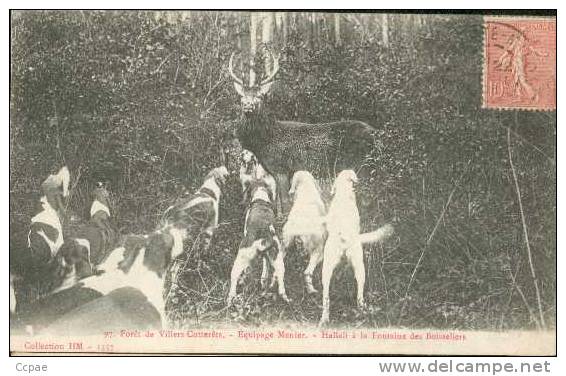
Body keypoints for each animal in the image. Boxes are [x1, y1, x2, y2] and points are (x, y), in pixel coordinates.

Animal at [225, 175, 280, 304]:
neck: (260, 199)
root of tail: (265, 234)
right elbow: (265, 271)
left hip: (240, 257)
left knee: (235, 277)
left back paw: (230, 298)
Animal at [320, 170, 394, 326]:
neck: (343, 193)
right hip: (360, 267)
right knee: (359, 295)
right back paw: (362, 310)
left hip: (327, 270)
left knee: (326, 298)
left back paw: (324, 318)